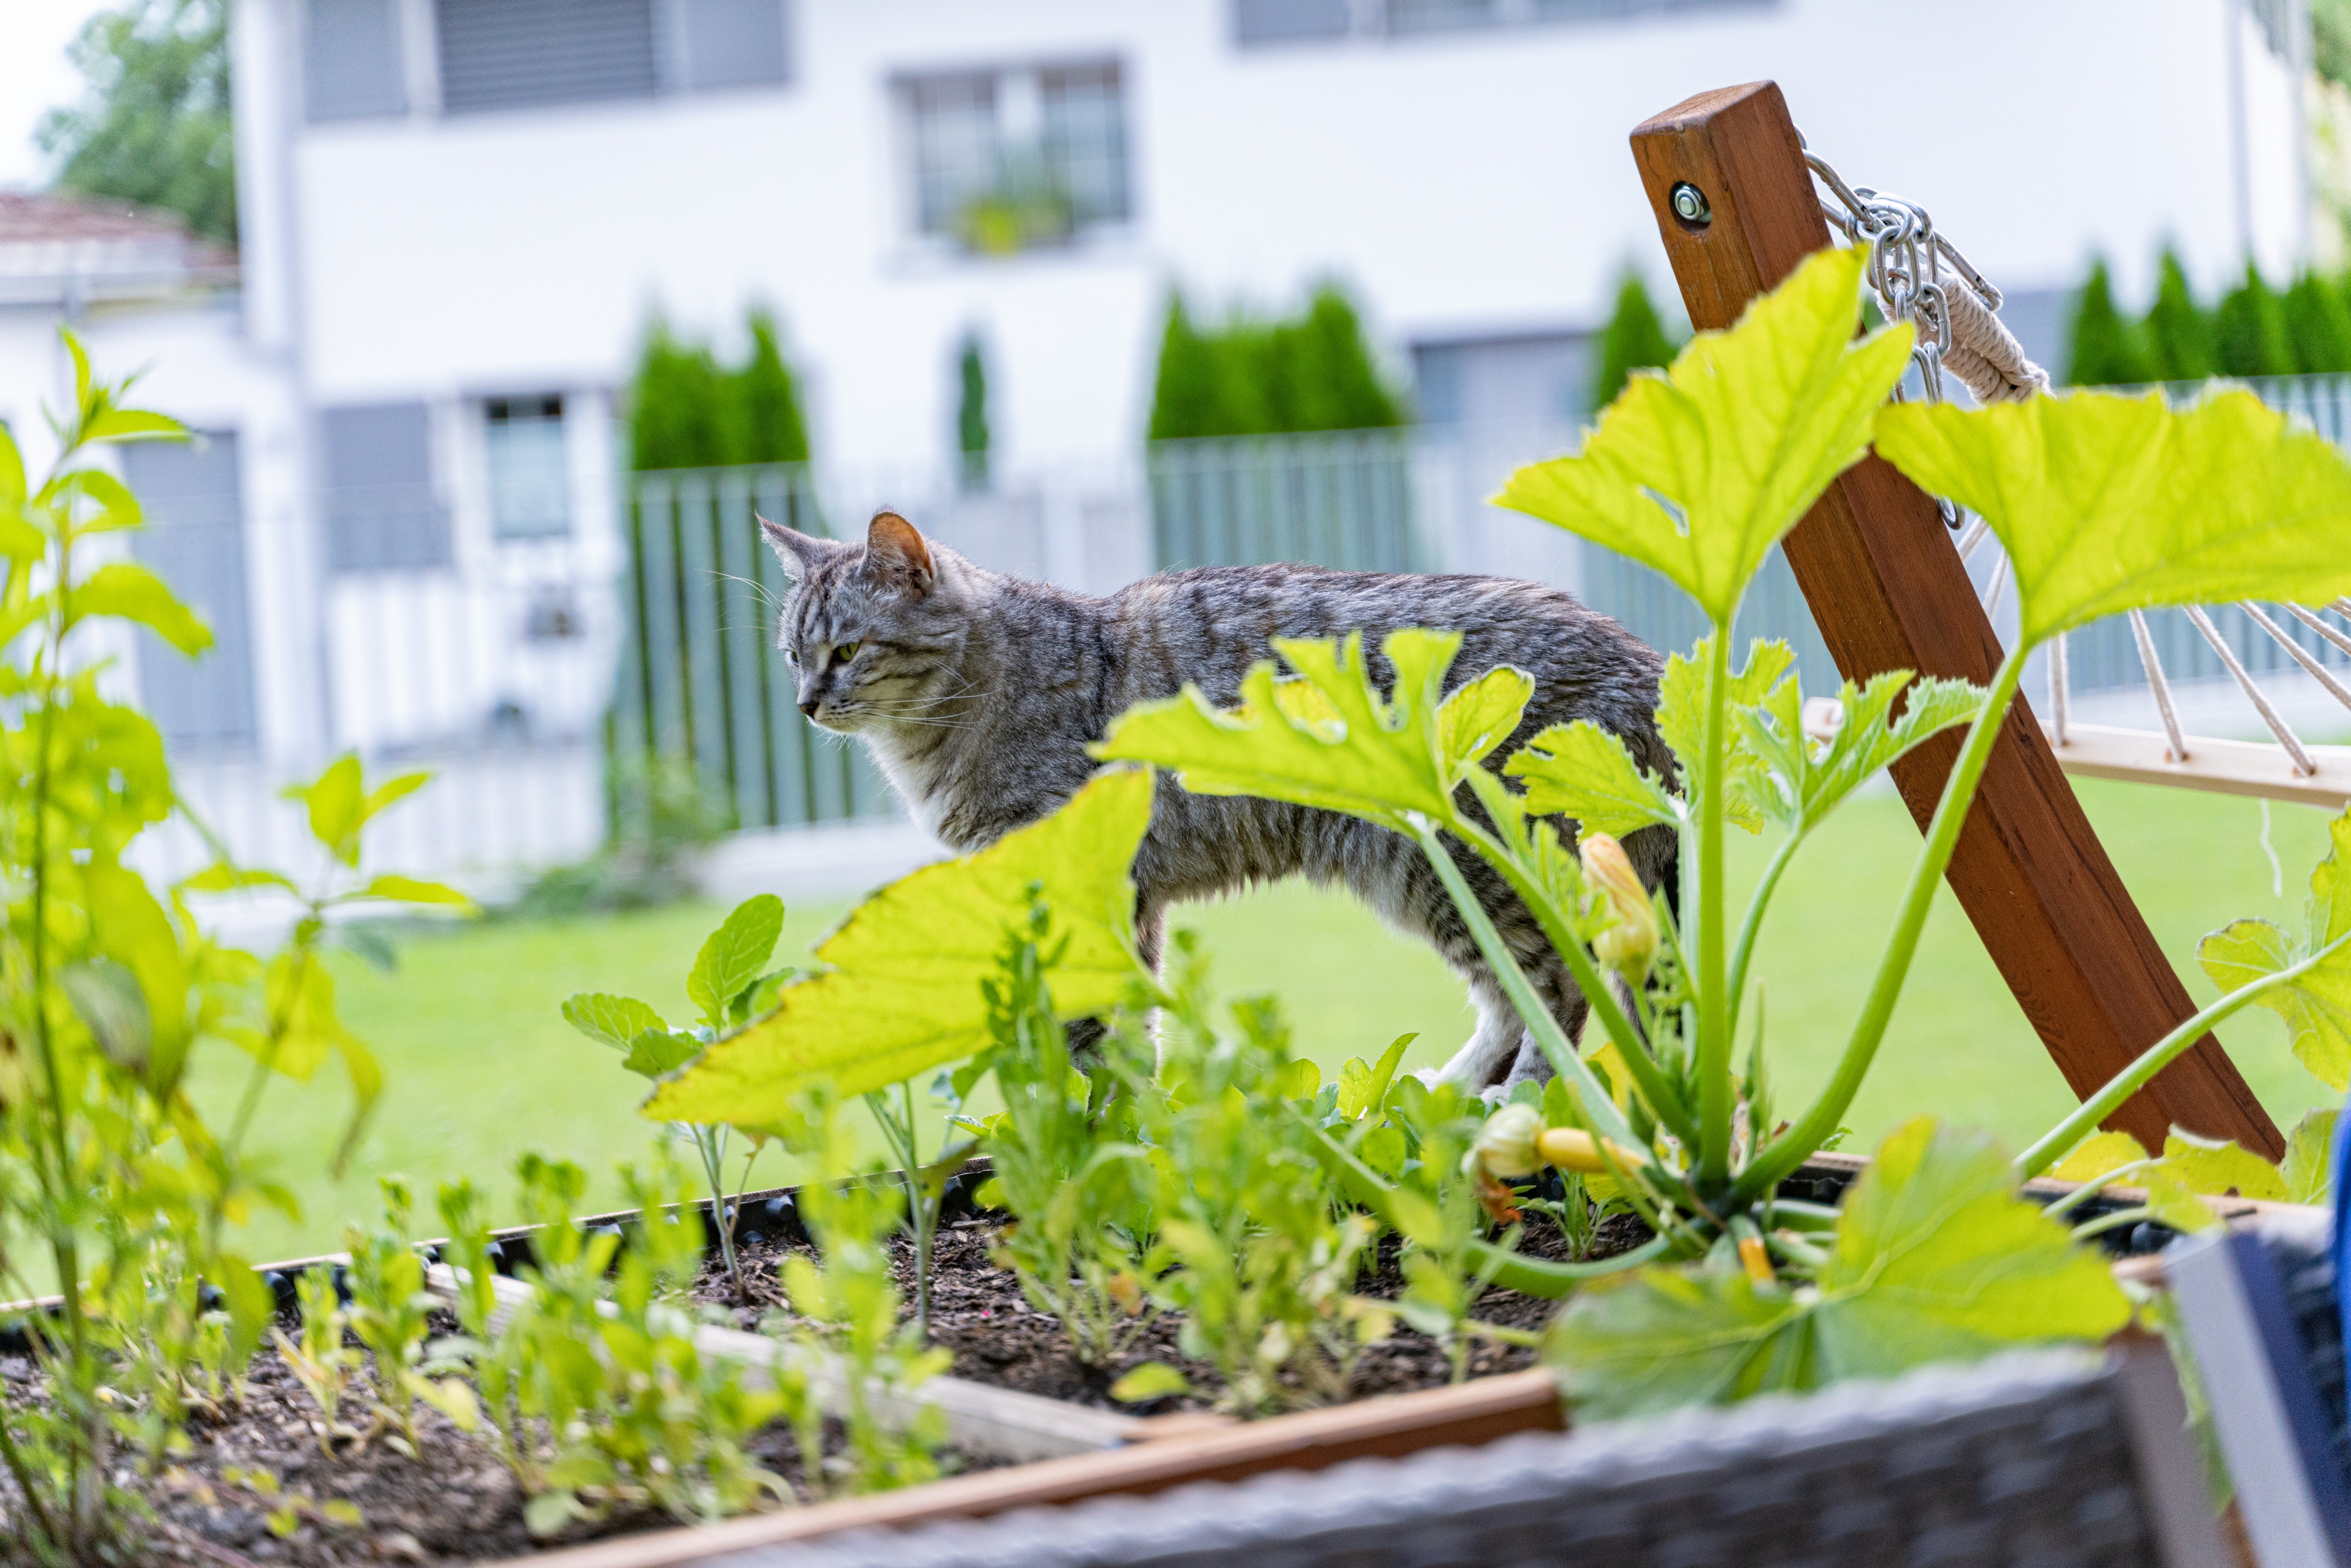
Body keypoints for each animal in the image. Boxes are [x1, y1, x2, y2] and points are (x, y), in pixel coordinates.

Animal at [766, 512, 1674, 1091]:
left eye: (846, 651)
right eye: (793, 656)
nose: (805, 703)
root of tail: (1642, 661)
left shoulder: (1094, 885)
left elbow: (1096, 1034)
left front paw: (1103, 1131)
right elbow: (1126, 1026)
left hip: (1459, 863)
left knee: (1560, 987)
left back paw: (1518, 1103)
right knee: (1514, 998)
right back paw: (1452, 1092)